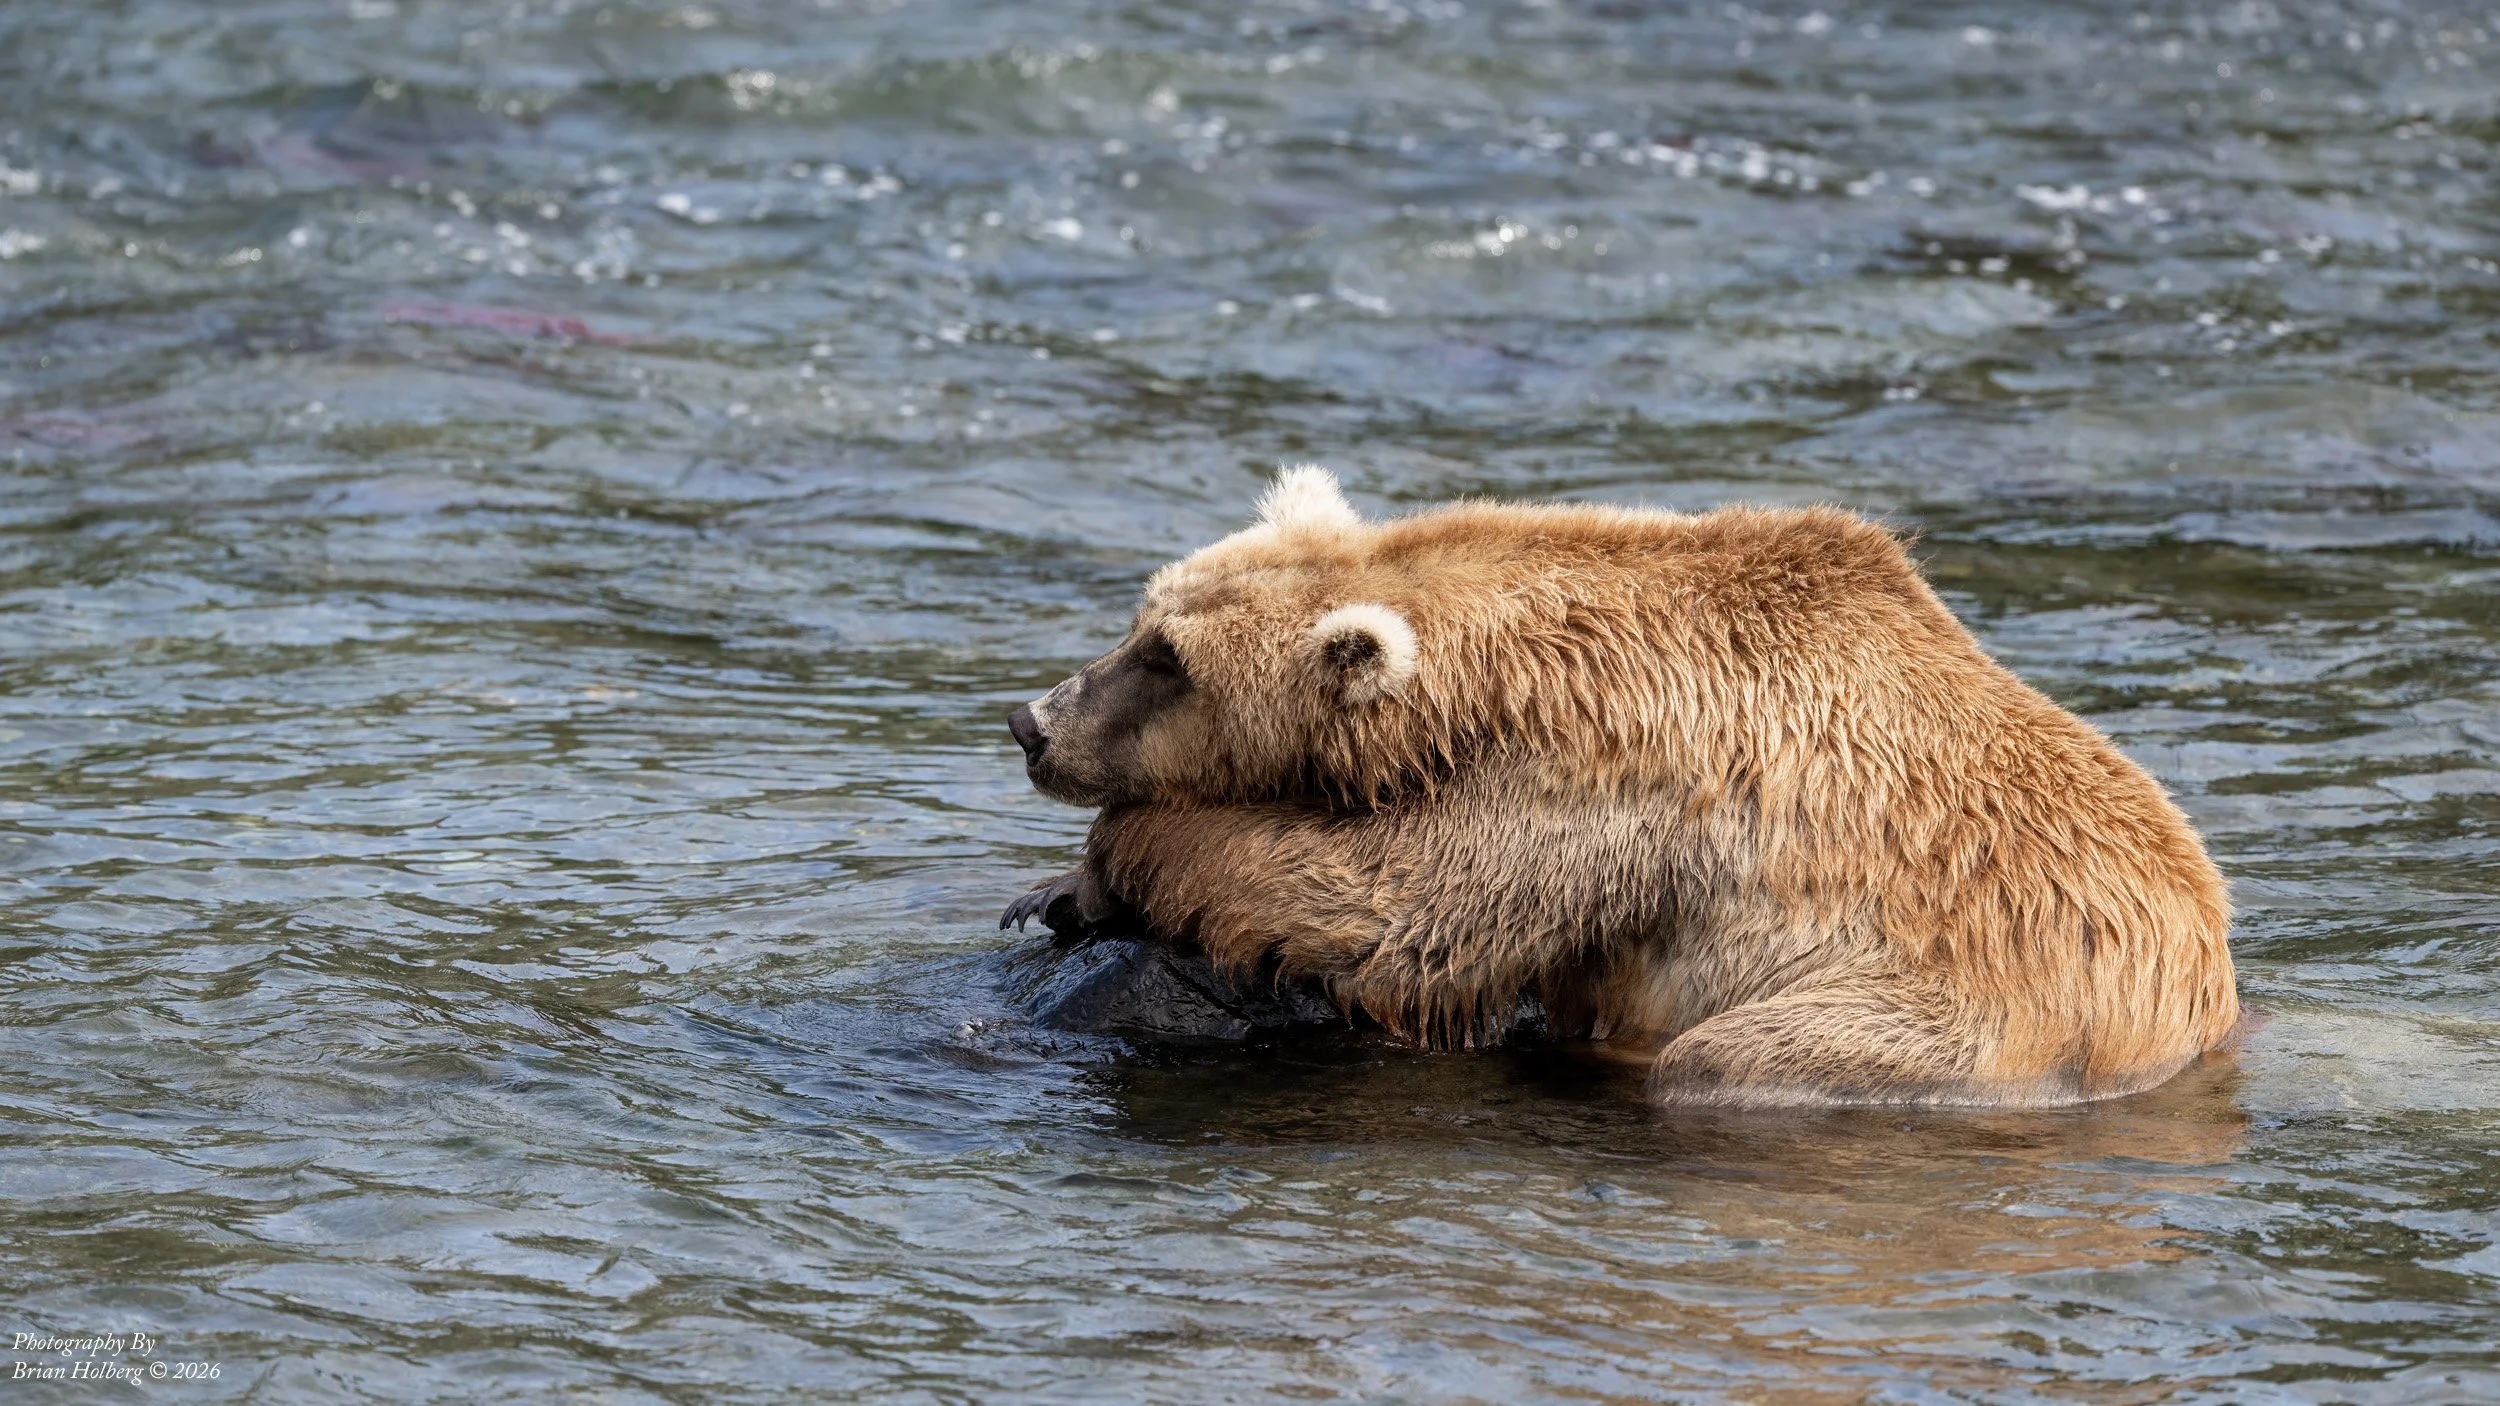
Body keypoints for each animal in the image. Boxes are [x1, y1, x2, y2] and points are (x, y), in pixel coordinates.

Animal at [1002, 467, 2240, 1107]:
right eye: (1143, 618)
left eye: (1168, 659)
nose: (1031, 722)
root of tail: (2208, 965)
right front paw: (1054, 894)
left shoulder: (1600, 790)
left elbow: (1399, 910)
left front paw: (1123, 851)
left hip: (1965, 1008)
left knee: (1723, 1058)